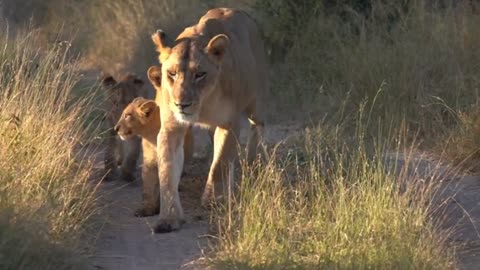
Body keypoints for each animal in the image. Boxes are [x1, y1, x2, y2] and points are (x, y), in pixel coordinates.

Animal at [150, 7, 266, 233]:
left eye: (200, 74)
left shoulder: (229, 124)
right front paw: (169, 217)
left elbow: (219, 163)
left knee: (258, 125)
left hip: (254, 101)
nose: (182, 104)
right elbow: (167, 171)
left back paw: (253, 162)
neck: (203, 103)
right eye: (172, 73)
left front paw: (213, 200)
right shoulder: (171, 128)